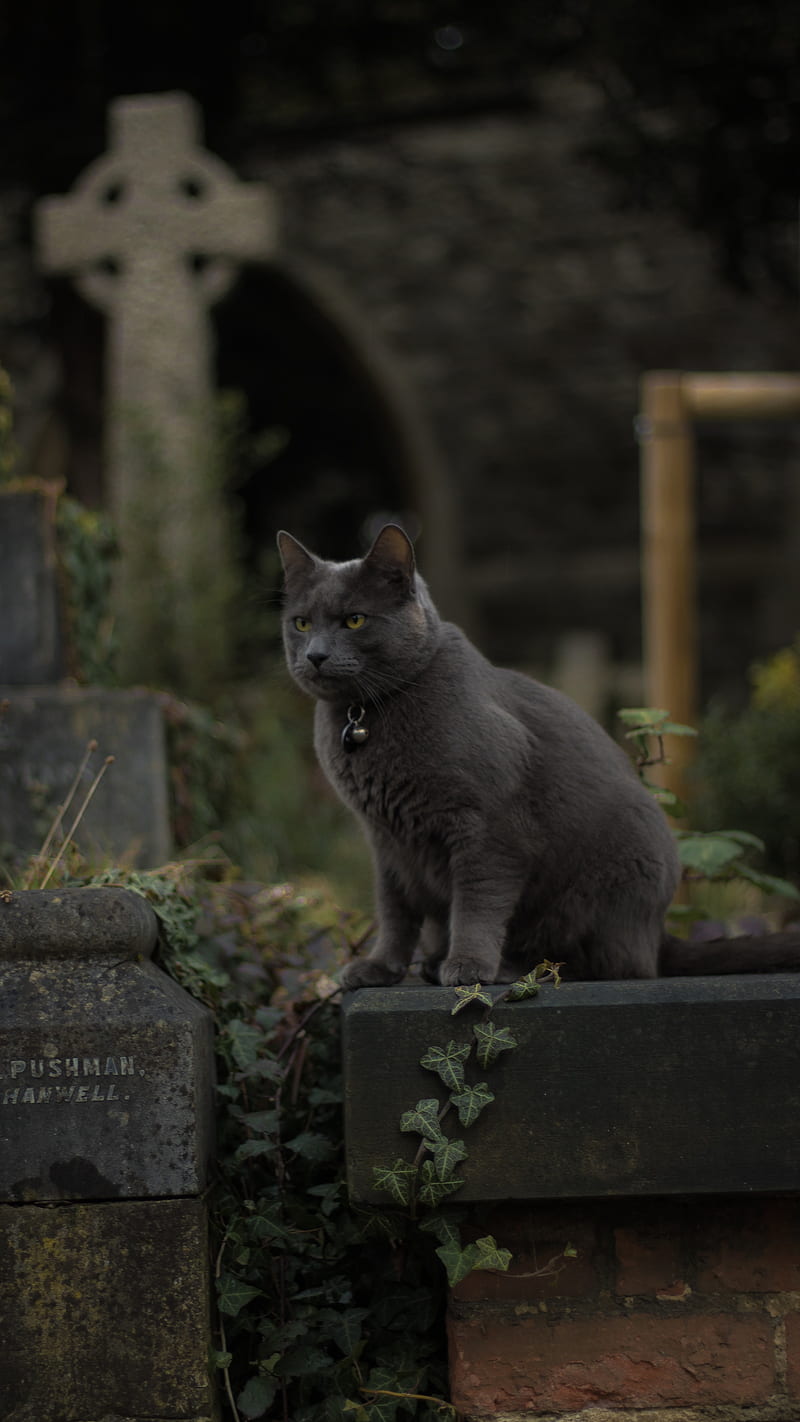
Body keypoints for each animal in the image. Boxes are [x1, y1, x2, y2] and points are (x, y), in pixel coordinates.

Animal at [277, 526, 800, 989]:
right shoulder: (386, 841)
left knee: (611, 964)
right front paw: (380, 968)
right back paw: (431, 964)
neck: (365, 715)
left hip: (608, 884)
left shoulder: (489, 829)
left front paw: (467, 966)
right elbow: (394, 910)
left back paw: (506, 967)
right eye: (301, 623)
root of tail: (658, 935)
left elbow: (476, 902)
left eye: (355, 620)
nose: (316, 655)